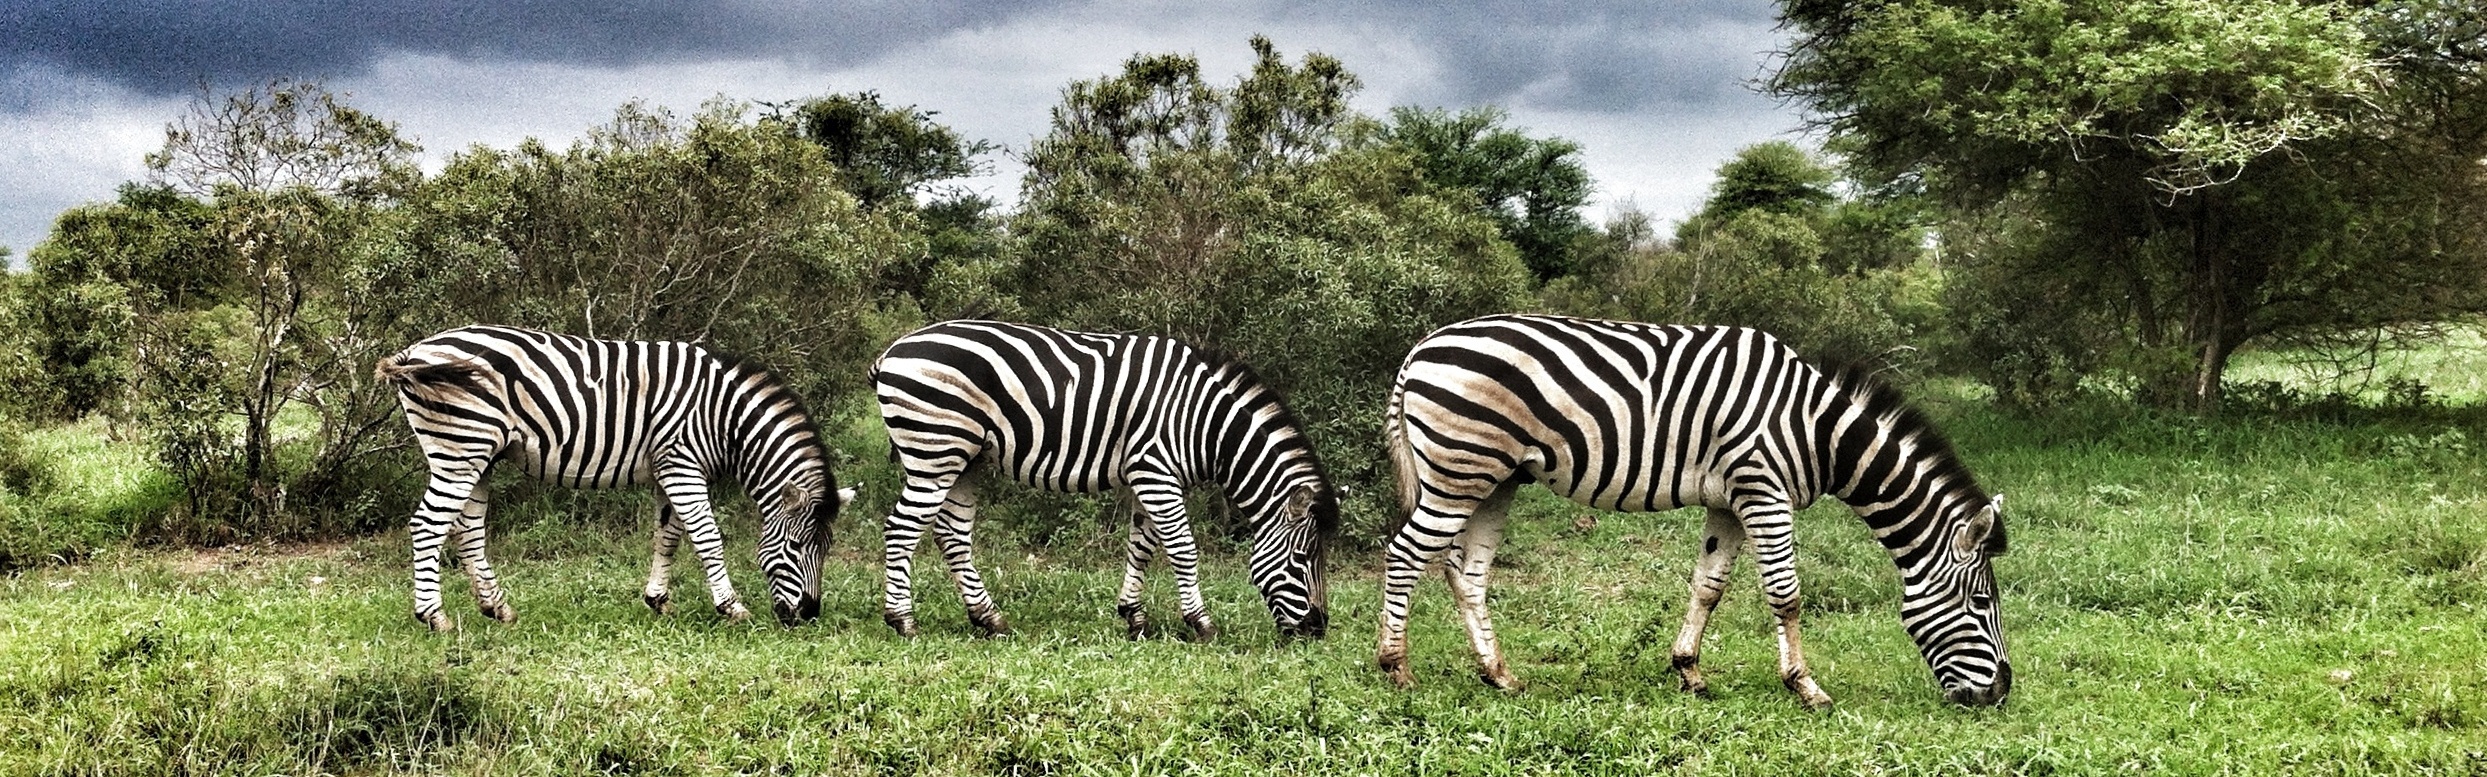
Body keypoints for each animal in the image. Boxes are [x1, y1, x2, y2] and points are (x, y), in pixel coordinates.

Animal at [375, 323, 855, 635]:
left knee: (468, 530)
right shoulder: (682, 463)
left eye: (827, 549)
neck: (725, 419)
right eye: (796, 547)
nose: (809, 616)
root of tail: (416, 351)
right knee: (428, 525)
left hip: (479, 454)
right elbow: (707, 537)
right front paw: (731, 606)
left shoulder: (670, 468)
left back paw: (497, 608)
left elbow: (669, 536)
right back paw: (434, 617)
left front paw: (658, 599)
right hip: (460, 448)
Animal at [865, 318, 1333, 642]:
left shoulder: (1149, 477)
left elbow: (1141, 548)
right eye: (1302, 559)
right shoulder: (1156, 472)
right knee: (902, 529)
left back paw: (989, 619)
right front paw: (1201, 623)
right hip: (935, 450)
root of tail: (892, 352)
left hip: (965, 461)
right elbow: (1183, 550)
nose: (1318, 630)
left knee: (952, 536)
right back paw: (903, 621)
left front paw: (1135, 617)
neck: (1203, 424)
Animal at [1372, 316, 2009, 712]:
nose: (2001, 693)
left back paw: (1498, 674)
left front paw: (1689, 672)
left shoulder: (1729, 501)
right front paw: (1806, 688)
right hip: (1460, 467)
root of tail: (1419, 350)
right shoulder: (1762, 487)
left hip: (1496, 477)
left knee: (1466, 573)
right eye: (1982, 602)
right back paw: (1397, 670)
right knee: (1405, 553)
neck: (1818, 432)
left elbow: (1709, 587)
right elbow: (1786, 595)